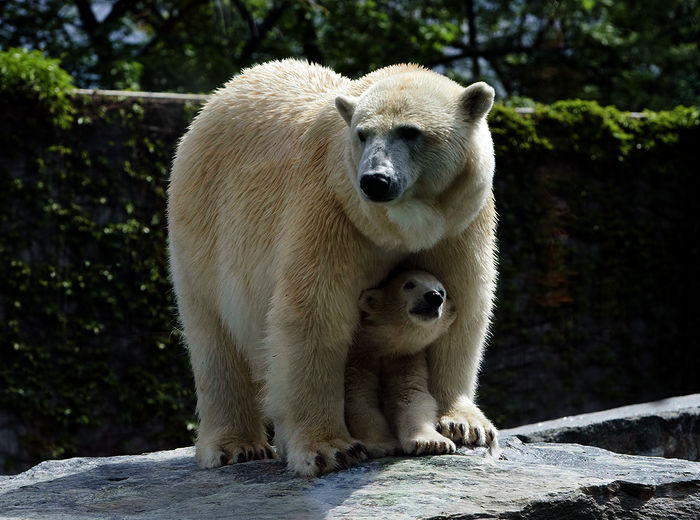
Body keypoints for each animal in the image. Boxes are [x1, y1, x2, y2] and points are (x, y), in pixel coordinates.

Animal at [169, 58, 498, 476]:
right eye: (362, 134)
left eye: (410, 132)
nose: (375, 181)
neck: (398, 227)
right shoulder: (332, 213)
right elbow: (315, 316)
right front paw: (331, 449)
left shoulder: (460, 225)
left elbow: (464, 307)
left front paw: (465, 425)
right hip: (204, 225)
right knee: (214, 335)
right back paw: (235, 446)